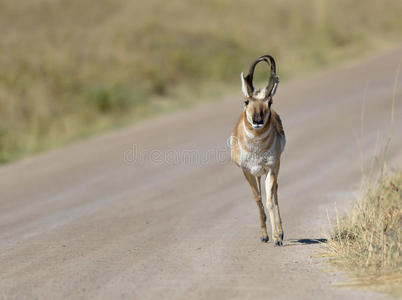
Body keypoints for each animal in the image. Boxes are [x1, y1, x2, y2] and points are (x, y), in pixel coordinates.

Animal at [231, 55, 284, 246]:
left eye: (270, 102)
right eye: (246, 101)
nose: (257, 121)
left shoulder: (271, 168)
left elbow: (268, 201)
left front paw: (276, 237)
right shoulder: (246, 170)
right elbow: (257, 199)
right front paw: (264, 235)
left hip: (273, 168)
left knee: (275, 191)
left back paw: (281, 232)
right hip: (257, 173)